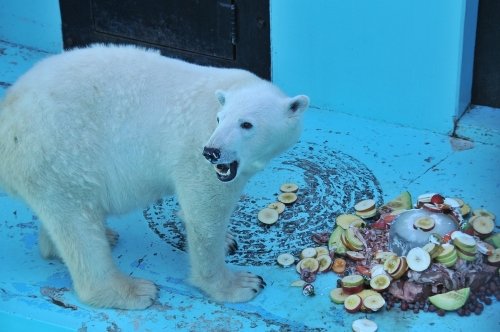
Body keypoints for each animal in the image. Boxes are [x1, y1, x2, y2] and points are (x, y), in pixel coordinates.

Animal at [0, 44, 308, 308]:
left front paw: (228, 239)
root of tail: (8, 114)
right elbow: (205, 215)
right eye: (220, 119)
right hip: (58, 151)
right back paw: (132, 290)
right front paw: (238, 284)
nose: (212, 152)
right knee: (77, 223)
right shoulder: (194, 151)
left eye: (246, 124)